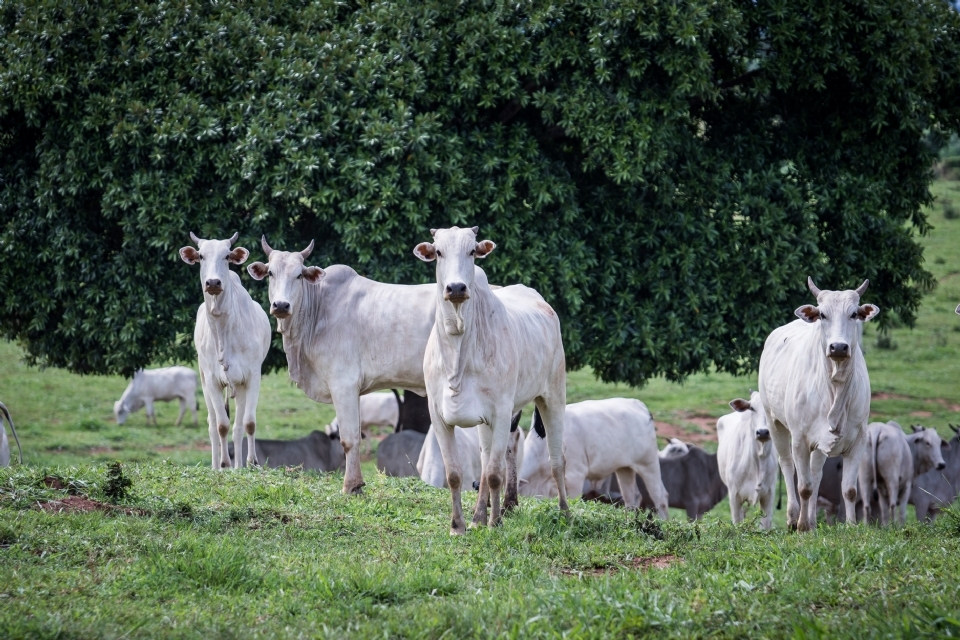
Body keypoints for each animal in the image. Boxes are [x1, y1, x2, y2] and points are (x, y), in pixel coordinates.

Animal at [178, 232, 270, 468]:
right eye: (201, 256)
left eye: (227, 256)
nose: (212, 282)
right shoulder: (211, 380)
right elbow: (221, 425)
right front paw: (224, 463)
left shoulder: (252, 377)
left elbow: (248, 423)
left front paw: (251, 462)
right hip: (204, 381)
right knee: (213, 424)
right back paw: (216, 466)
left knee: (238, 427)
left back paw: (239, 465)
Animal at [414, 228, 568, 532]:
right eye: (438, 252)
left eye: (472, 251)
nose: (456, 288)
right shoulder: (438, 416)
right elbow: (455, 474)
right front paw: (458, 525)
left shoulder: (501, 411)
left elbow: (496, 473)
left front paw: (496, 522)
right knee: (485, 461)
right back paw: (478, 516)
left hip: (553, 396)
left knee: (556, 459)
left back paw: (565, 513)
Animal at [520, 398, 672, 516]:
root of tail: (640, 405)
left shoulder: (575, 476)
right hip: (624, 468)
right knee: (631, 497)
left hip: (648, 463)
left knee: (660, 497)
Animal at [760, 276, 880, 528]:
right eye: (822, 314)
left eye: (854, 314)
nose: (839, 347)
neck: (835, 387)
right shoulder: (799, 439)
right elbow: (803, 487)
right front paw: (802, 526)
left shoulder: (859, 439)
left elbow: (849, 490)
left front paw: (851, 526)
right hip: (774, 422)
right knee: (787, 465)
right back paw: (794, 518)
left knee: (816, 473)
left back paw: (813, 520)